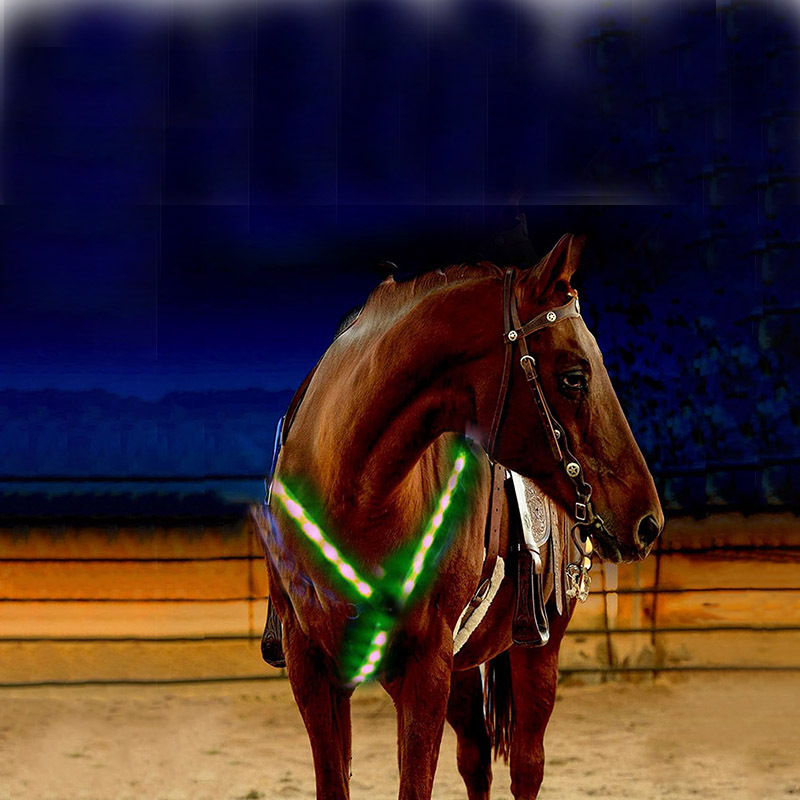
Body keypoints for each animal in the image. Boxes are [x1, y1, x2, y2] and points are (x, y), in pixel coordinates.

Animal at [256, 233, 663, 799]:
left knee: (527, 767)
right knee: (476, 759)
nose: (648, 521)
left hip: (537, 650)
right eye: (574, 377)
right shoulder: (313, 669)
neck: (351, 494)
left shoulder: (425, 668)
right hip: (463, 669)